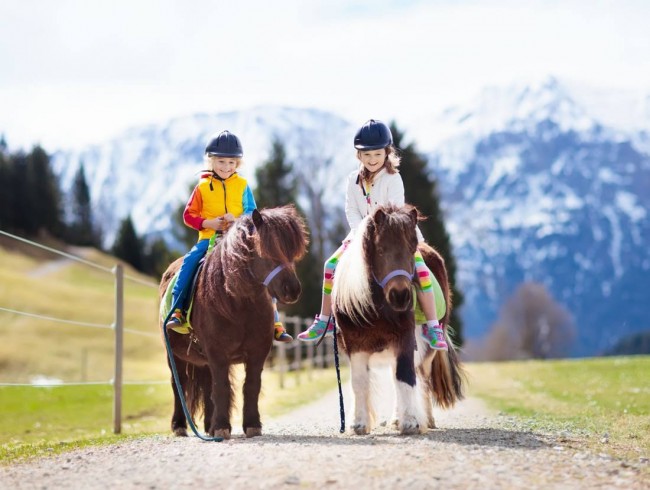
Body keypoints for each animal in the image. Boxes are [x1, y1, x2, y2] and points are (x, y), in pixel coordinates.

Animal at [158, 205, 308, 438]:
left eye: (292, 253)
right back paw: (180, 425)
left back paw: (209, 426)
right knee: (178, 384)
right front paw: (222, 426)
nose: (292, 290)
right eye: (267, 251)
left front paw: (251, 425)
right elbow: (222, 387)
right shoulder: (217, 353)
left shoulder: (257, 353)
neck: (239, 305)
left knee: (207, 386)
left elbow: (251, 386)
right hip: (174, 355)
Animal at [332, 205, 464, 434]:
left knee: (421, 378)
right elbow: (359, 382)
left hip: (427, 350)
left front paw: (410, 422)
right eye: (380, 250)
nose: (400, 296)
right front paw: (359, 424)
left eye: (412, 250)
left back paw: (424, 419)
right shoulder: (355, 344)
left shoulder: (405, 339)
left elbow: (405, 378)